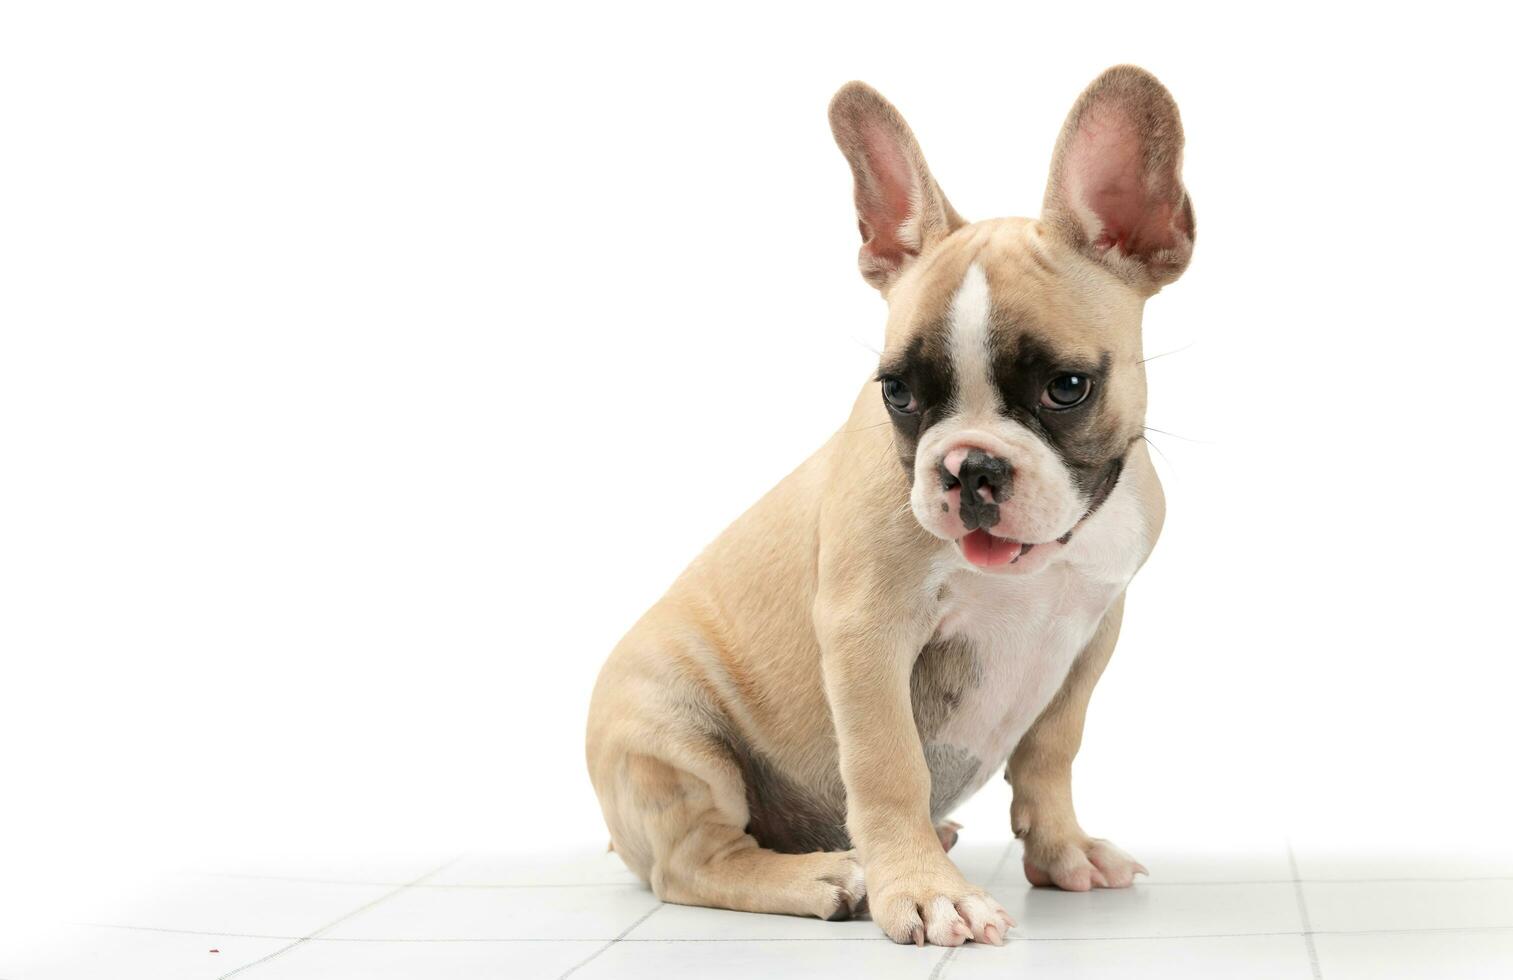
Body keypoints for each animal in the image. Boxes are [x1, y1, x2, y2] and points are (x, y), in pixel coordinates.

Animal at [587, 65, 1192, 943]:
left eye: (1067, 386)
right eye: (897, 393)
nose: (968, 465)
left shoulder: (1091, 629)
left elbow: (1051, 749)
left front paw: (1062, 852)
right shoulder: (867, 631)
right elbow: (887, 765)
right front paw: (922, 888)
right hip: (673, 738)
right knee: (695, 862)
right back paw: (826, 876)